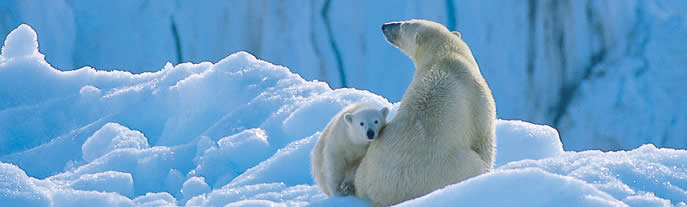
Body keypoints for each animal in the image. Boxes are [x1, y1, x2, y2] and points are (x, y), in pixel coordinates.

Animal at [354, 19, 494, 205]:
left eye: (403, 24)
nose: (385, 26)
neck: (445, 54)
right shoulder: (477, 96)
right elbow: (484, 138)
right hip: (450, 168)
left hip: (364, 171)